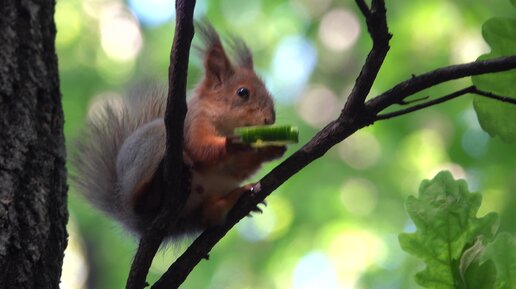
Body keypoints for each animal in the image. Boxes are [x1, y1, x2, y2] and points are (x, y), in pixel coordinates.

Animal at [71, 23, 286, 236]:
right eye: (243, 92)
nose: (270, 119)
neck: (226, 125)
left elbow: (235, 168)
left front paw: (271, 149)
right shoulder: (193, 123)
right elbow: (200, 148)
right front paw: (233, 143)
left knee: (209, 215)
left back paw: (236, 196)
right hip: (155, 142)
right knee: (142, 202)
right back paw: (155, 189)